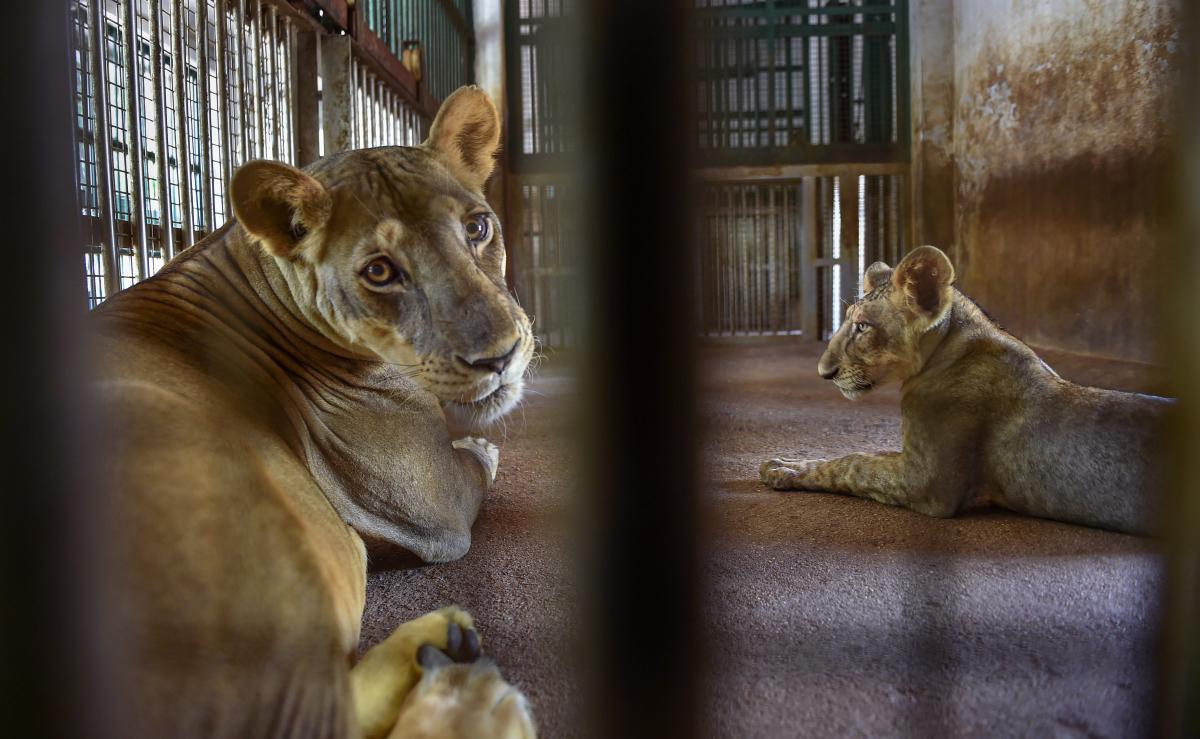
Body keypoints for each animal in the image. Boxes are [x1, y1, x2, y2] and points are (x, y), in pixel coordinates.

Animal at [90, 86, 537, 737]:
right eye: (380, 271)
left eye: (478, 227)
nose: (500, 356)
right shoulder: (438, 507)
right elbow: (476, 466)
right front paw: (481, 445)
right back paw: (466, 688)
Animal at [760, 245, 1170, 536]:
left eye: (862, 327)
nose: (823, 373)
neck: (946, 348)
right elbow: (868, 453)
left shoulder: (929, 483)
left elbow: (855, 463)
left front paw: (782, 470)